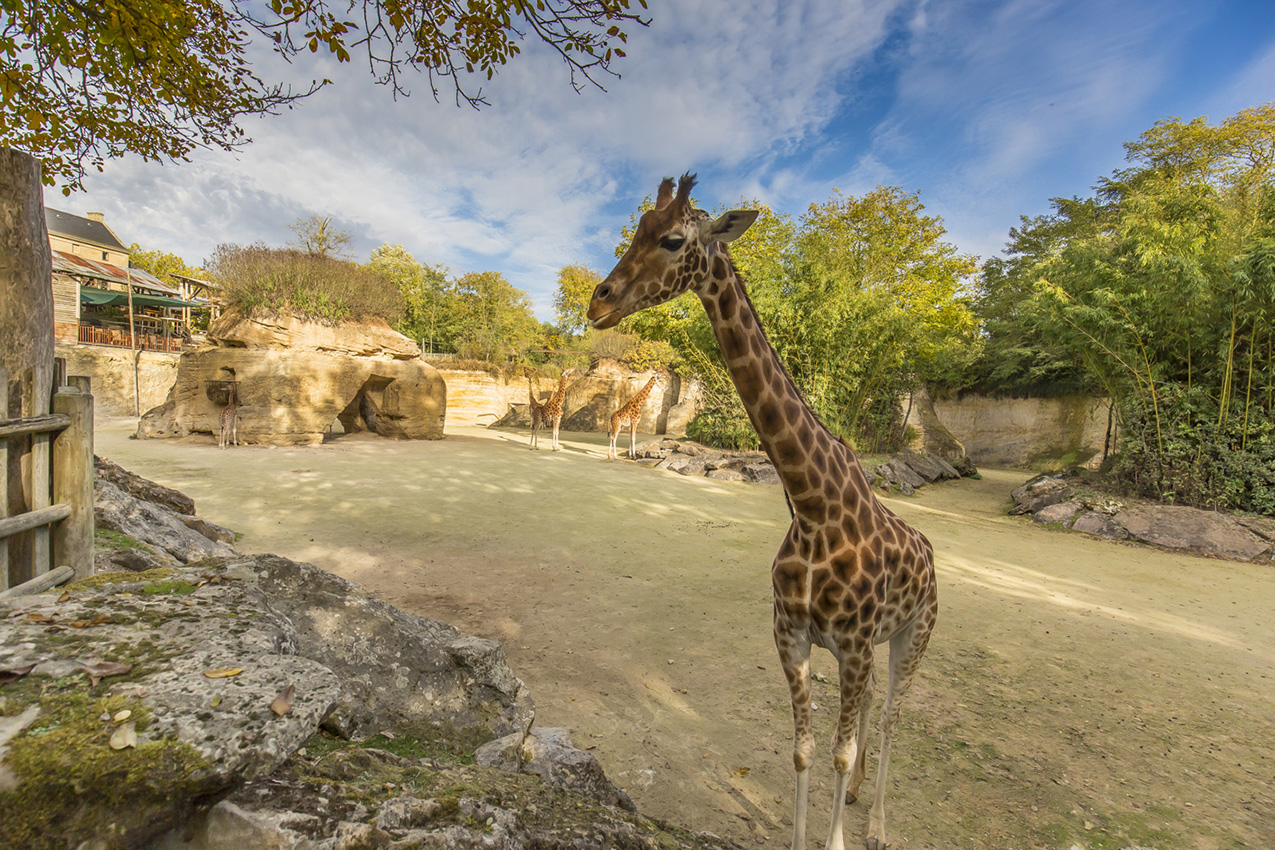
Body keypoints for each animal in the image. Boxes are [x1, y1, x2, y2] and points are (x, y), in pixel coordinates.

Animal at [586, 174, 938, 850]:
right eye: (637, 227)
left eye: (673, 239)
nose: (599, 302)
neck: (812, 504)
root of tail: (931, 553)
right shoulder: (792, 635)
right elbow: (804, 750)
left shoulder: (853, 642)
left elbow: (838, 753)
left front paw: (839, 839)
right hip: (873, 645)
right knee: (871, 712)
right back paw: (859, 798)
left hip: (915, 632)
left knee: (890, 716)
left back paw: (879, 823)